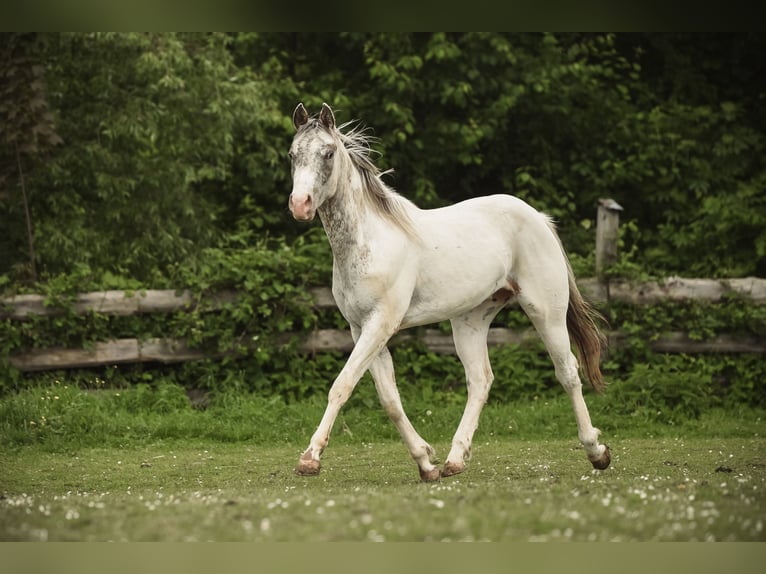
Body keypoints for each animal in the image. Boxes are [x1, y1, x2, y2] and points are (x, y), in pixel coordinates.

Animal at [287, 102, 611, 482]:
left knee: (568, 372)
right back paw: (455, 460)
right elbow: (390, 400)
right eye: (292, 154)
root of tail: (540, 219)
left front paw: (310, 458)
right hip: (470, 321)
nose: (300, 205)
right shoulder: (361, 328)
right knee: (481, 379)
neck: (369, 240)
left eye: (328, 153)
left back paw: (597, 452)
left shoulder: (380, 324)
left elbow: (342, 385)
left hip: (546, 312)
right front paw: (426, 463)